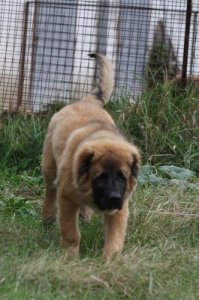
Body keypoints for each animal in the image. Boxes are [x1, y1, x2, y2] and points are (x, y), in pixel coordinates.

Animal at [42, 52, 140, 258]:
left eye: (122, 177)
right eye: (100, 177)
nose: (113, 198)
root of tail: (86, 100)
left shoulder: (121, 208)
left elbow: (115, 237)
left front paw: (110, 259)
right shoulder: (67, 199)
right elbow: (71, 232)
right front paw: (70, 256)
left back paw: (85, 214)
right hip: (49, 166)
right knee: (50, 189)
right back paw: (48, 216)